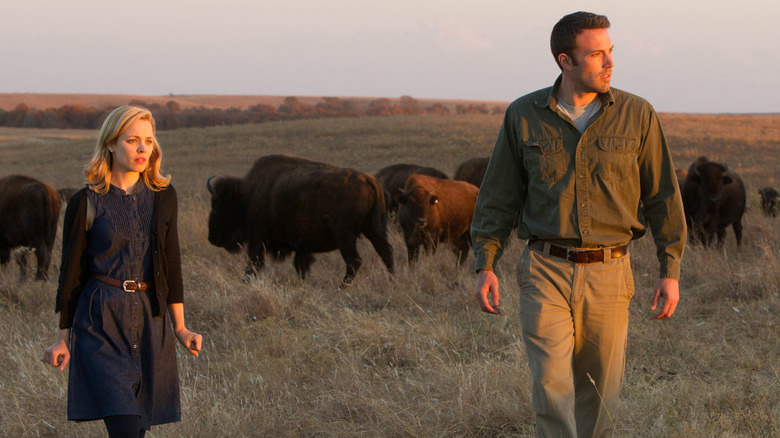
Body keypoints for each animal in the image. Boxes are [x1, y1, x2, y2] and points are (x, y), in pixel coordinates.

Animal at [207, 154, 394, 284]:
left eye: (216, 207)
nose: (211, 238)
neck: (248, 194)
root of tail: (367, 178)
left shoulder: (257, 238)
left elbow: (254, 263)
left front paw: (245, 281)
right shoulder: (301, 246)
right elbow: (300, 266)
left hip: (344, 235)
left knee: (354, 261)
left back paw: (341, 287)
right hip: (373, 228)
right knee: (385, 251)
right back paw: (391, 281)